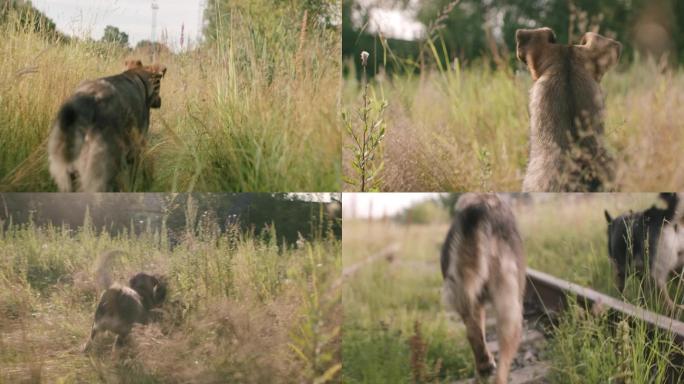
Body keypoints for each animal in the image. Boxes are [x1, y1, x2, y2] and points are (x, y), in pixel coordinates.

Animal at [47, 59, 166, 192]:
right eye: (159, 82)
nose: (160, 101)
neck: (138, 75)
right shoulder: (138, 148)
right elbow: (133, 179)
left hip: (65, 177)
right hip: (100, 176)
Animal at [440, 195, 528, 384]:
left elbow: (478, 335)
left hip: (467, 296)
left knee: (473, 334)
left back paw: (484, 369)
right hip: (509, 306)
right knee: (501, 360)